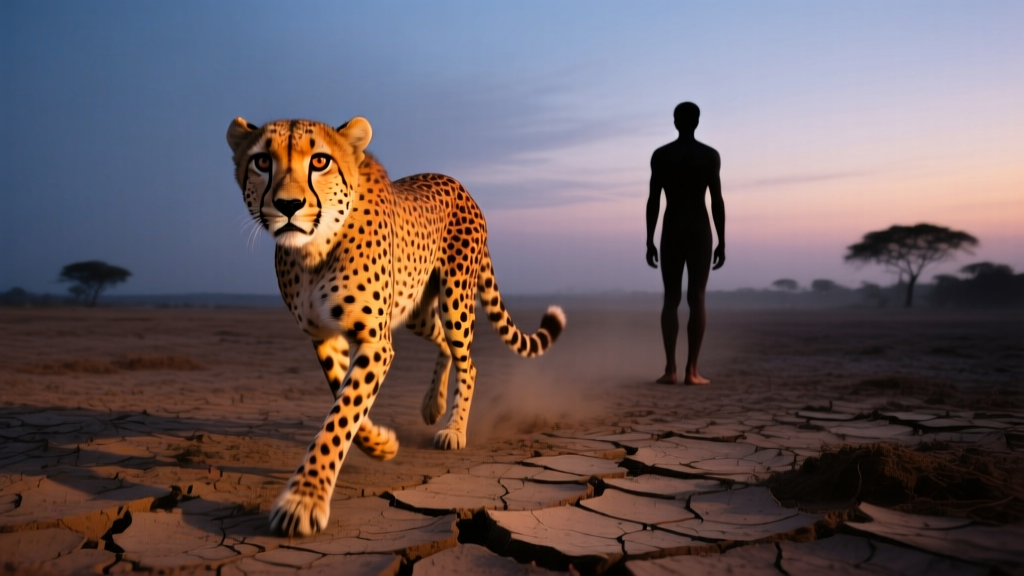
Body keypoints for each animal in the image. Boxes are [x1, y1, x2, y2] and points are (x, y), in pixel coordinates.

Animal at [226, 116, 566, 537]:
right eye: (262, 162)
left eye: (320, 161)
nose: (288, 206)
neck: (313, 252)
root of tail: (460, 185)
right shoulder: (324, 335)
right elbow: (344, 398)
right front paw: (381, 443)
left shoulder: (374, 340)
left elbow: (341, 416)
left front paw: (303, 500)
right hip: (417, 306)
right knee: (443, 343)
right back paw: (432, 405)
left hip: (455, 297)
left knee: (468, 361)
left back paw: (454, 430)